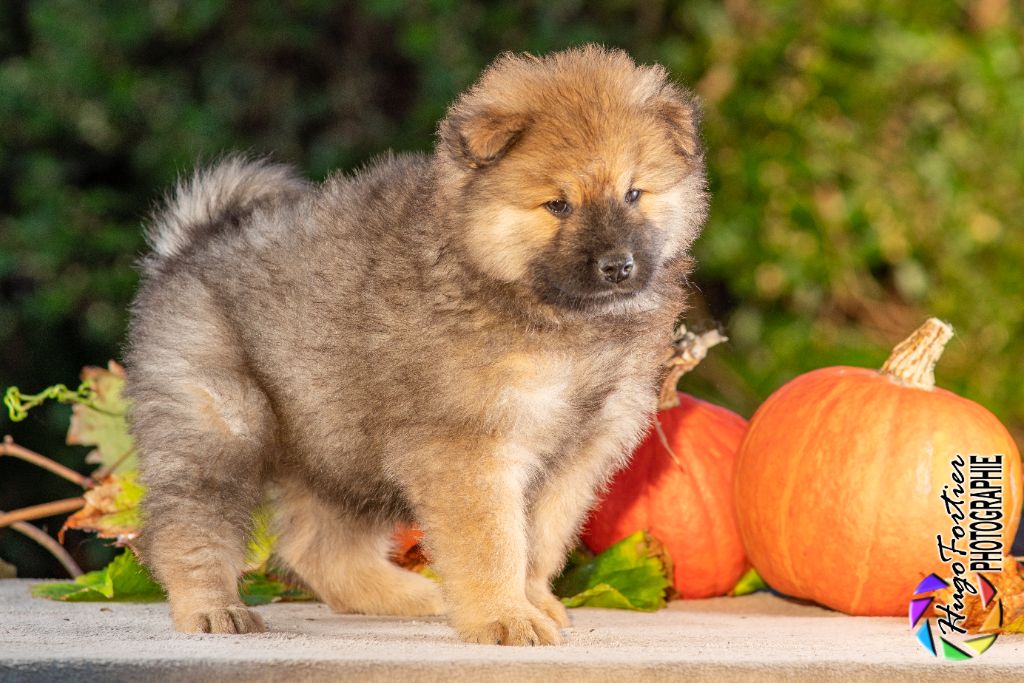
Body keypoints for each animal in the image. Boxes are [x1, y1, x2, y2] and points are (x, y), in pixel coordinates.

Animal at [125, 44, 704, 647]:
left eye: (634, 193)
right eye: (558, 205)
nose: (618, 266)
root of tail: (191, 244)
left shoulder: (577, 453)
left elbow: (540, 542)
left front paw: (536, 605)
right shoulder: (470, 444)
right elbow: (495, 544)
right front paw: (505, 617)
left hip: (340, 442)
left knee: (319, 549)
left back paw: (412, 596)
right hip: (220, 422)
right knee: (190, 525)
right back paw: (213, 607)